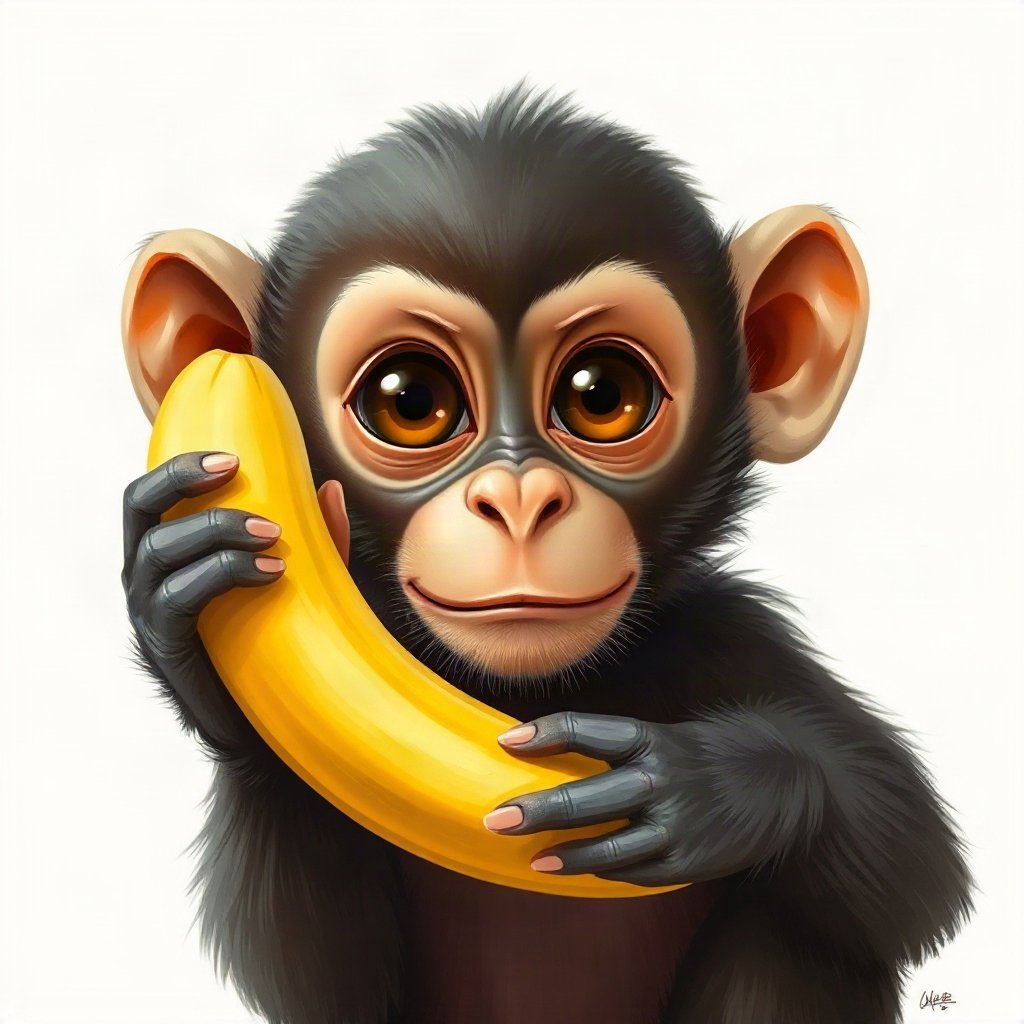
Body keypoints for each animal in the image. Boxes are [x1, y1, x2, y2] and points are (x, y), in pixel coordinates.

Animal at [120, 86, 973, 1024]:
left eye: (603, 394)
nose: (519, 502)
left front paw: (713, 788)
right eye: (409, 400)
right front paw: (181, 608)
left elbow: (920, 870)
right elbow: (322, 987)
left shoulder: (732, 634)